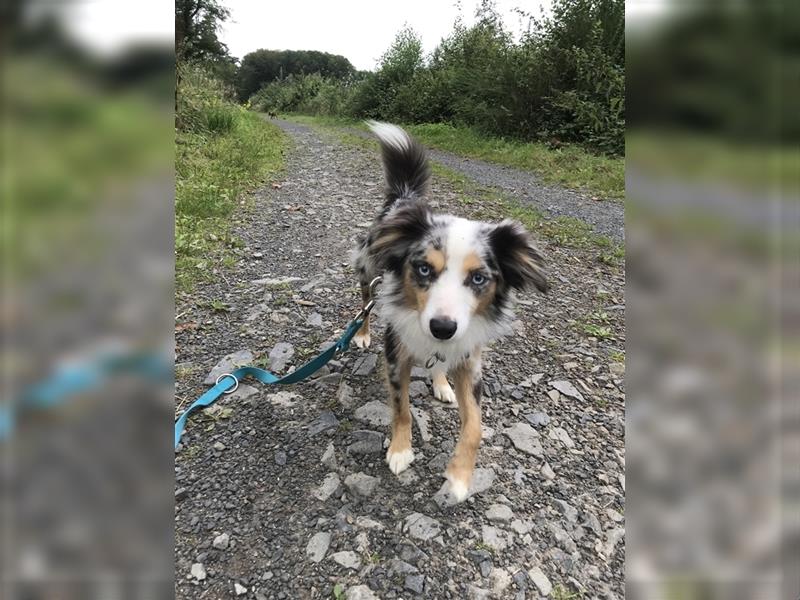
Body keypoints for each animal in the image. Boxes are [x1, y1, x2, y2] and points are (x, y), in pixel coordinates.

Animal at [354, 122, 548, 502]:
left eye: (478, 278)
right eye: (424, 269)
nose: (442, 327)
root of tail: (404, 199)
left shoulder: (470, 359)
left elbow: (475, 425)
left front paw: (459, 477)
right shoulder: (396, 354)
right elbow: (401, 408)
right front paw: (400, 451)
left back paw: (442, 383)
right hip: (368, 271)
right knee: (365, 304)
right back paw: (362, 334)